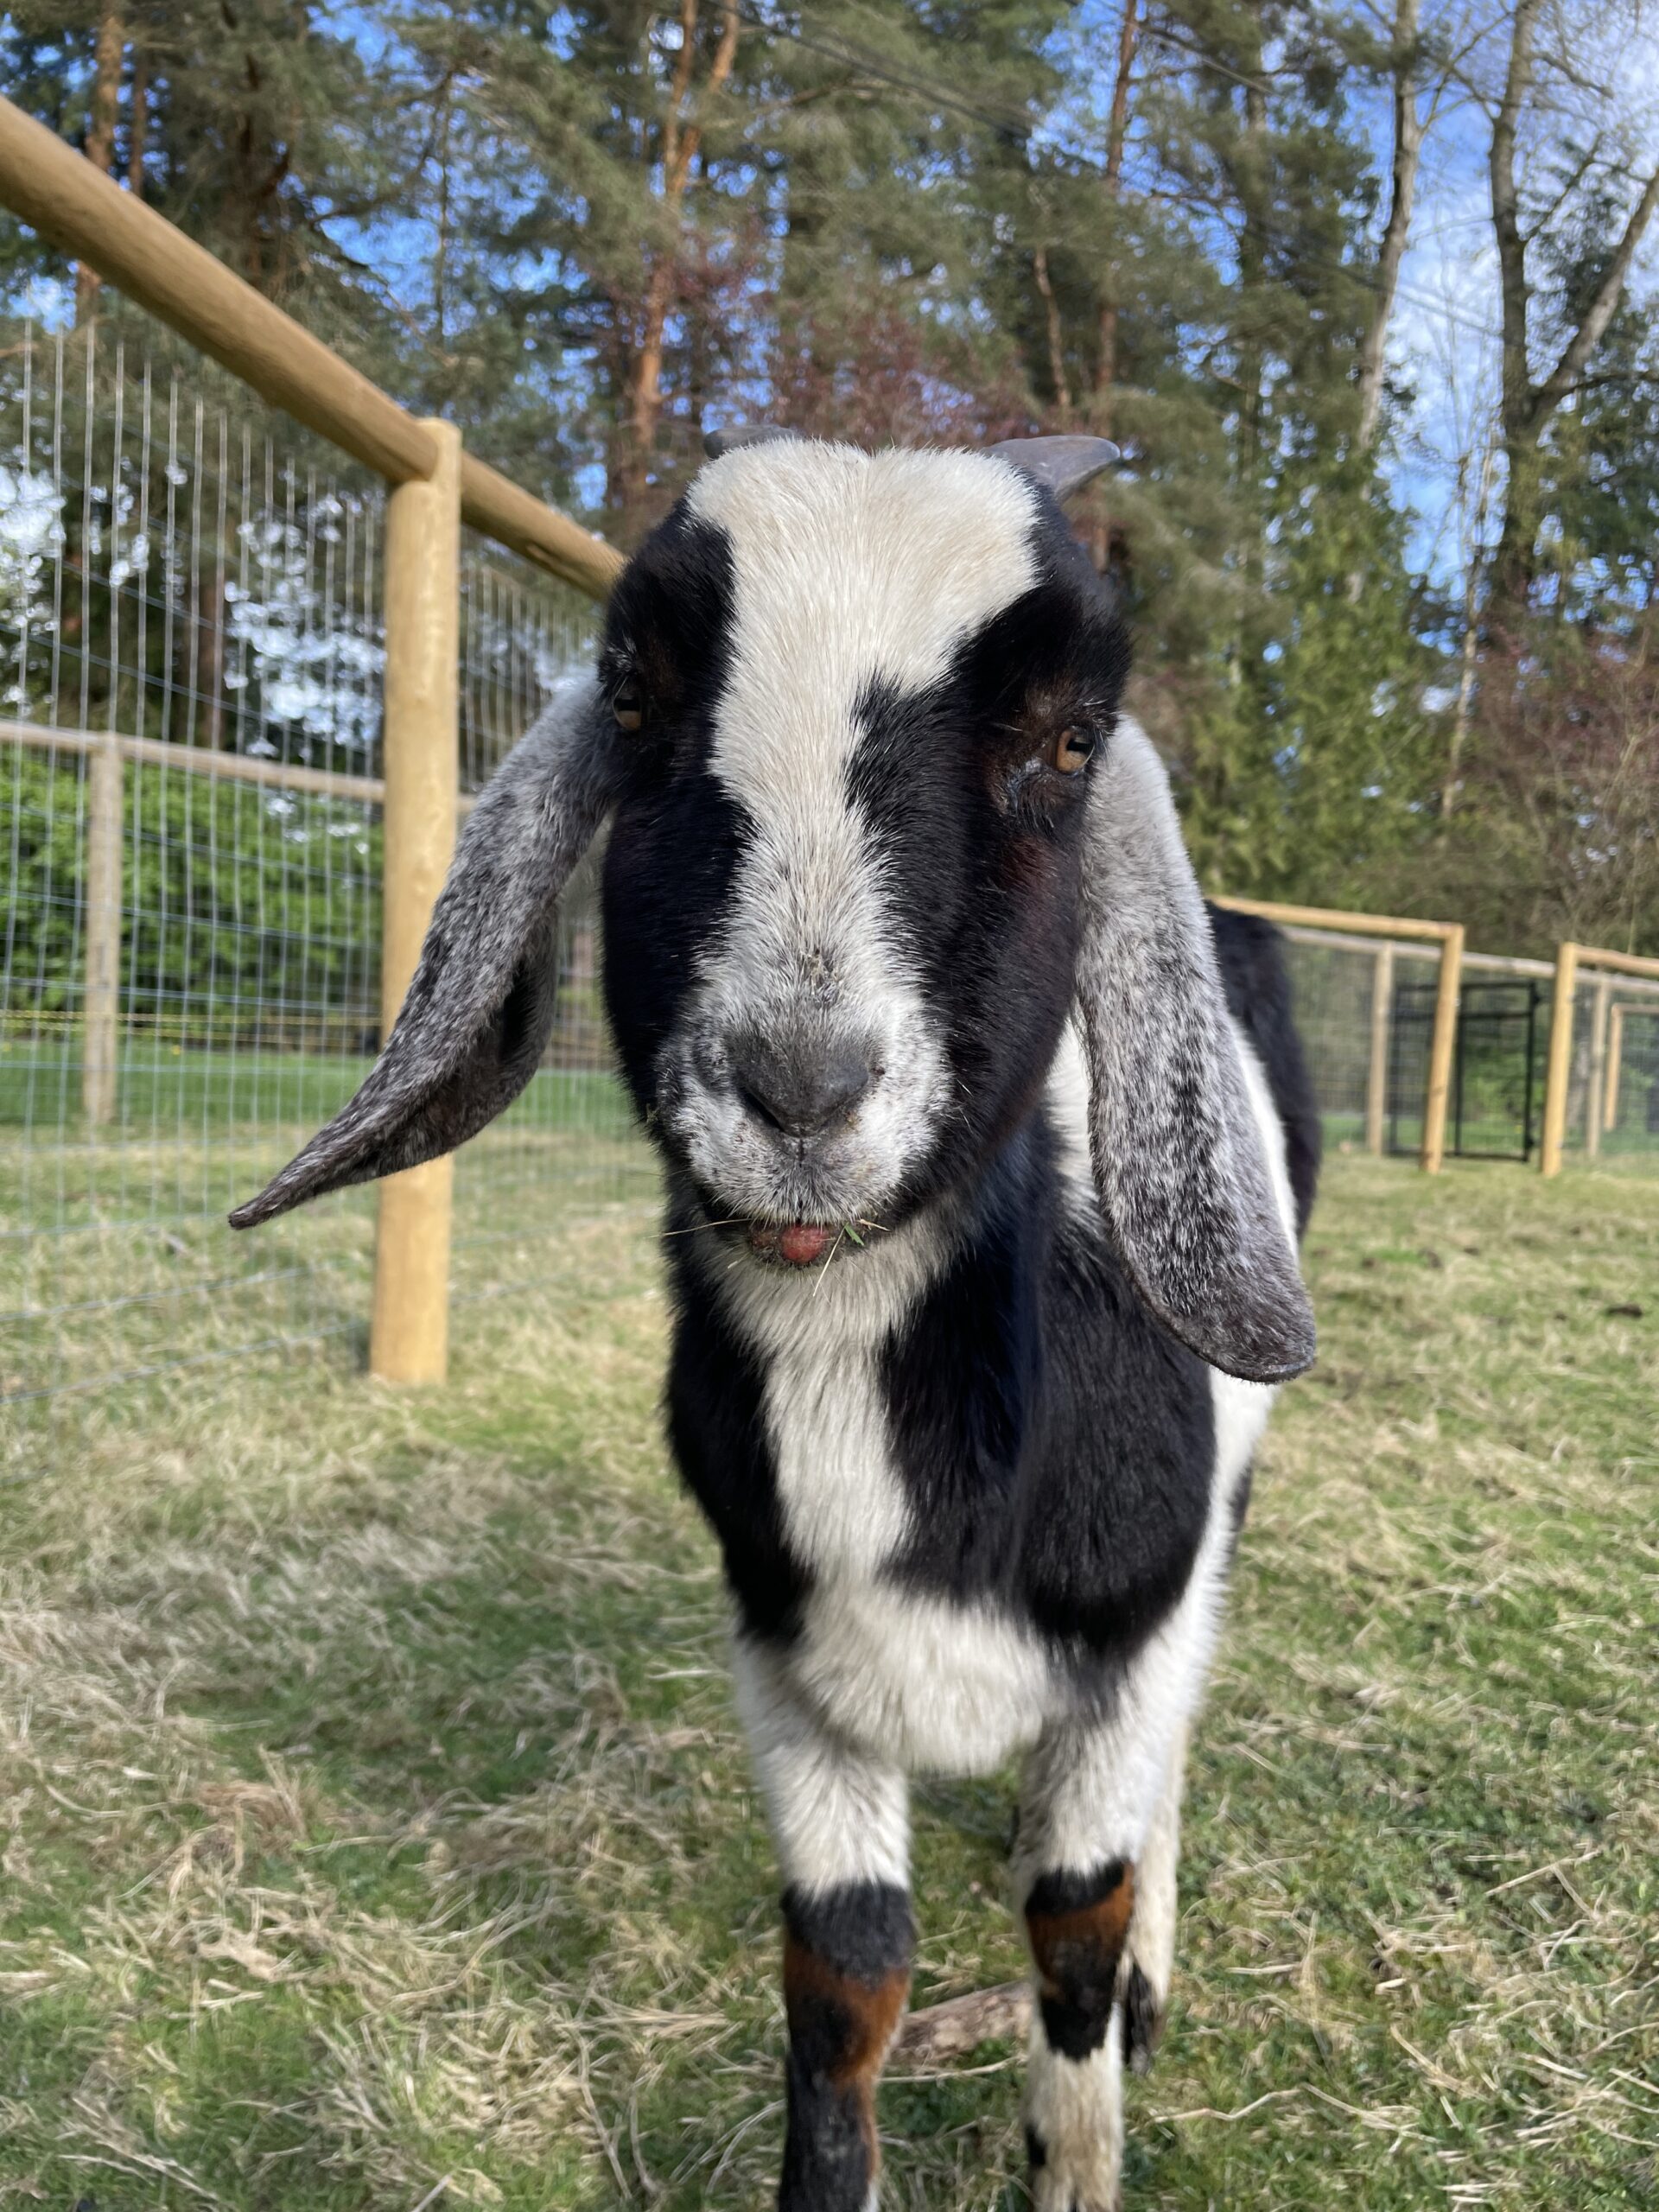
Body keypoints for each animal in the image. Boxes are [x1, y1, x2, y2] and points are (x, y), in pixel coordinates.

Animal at [233, 429, 1319, 2212]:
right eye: (630, 693)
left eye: (1069, 739)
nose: (799, 1091)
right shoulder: (785, 1653)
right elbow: (847, 1973)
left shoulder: (1136, 1629)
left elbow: (1073, 1932)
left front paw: (1085, 2110)